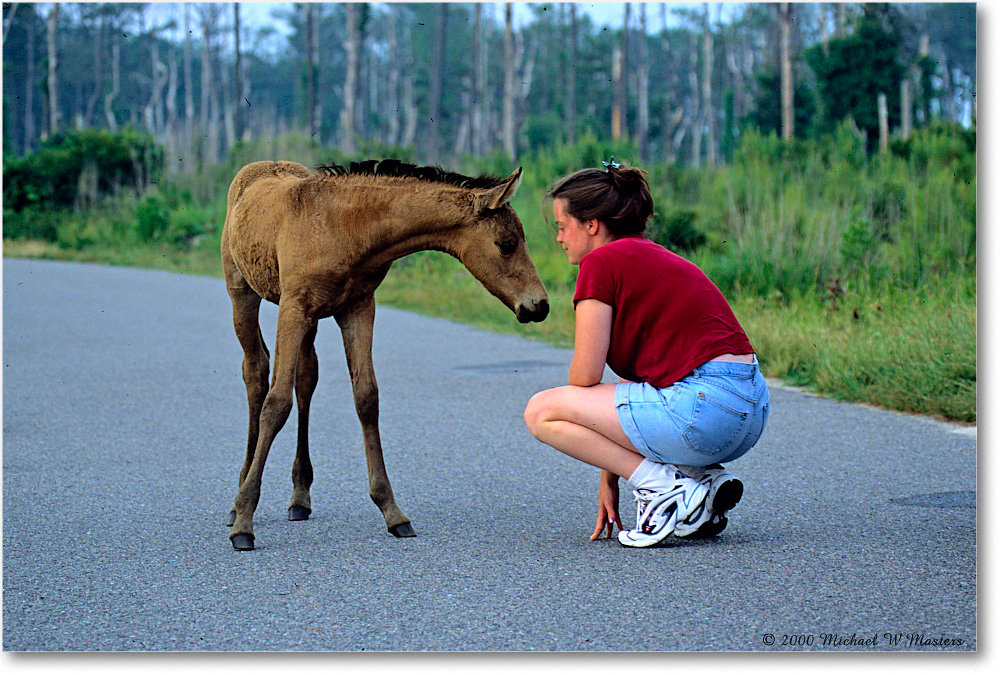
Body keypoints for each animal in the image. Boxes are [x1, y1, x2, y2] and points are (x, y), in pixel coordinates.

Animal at [220, 159, 549, 550]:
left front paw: (392, 511)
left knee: (306, 379)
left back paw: (300, 497)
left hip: (311, 321)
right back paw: (237, 498)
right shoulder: (293, 308)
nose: (539, 305)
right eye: (506, 244)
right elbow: (275, 403)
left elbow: (366, 397)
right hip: (242, 293)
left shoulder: (358, 307)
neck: (347, 229)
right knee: (256, 373)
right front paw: (245, 520)